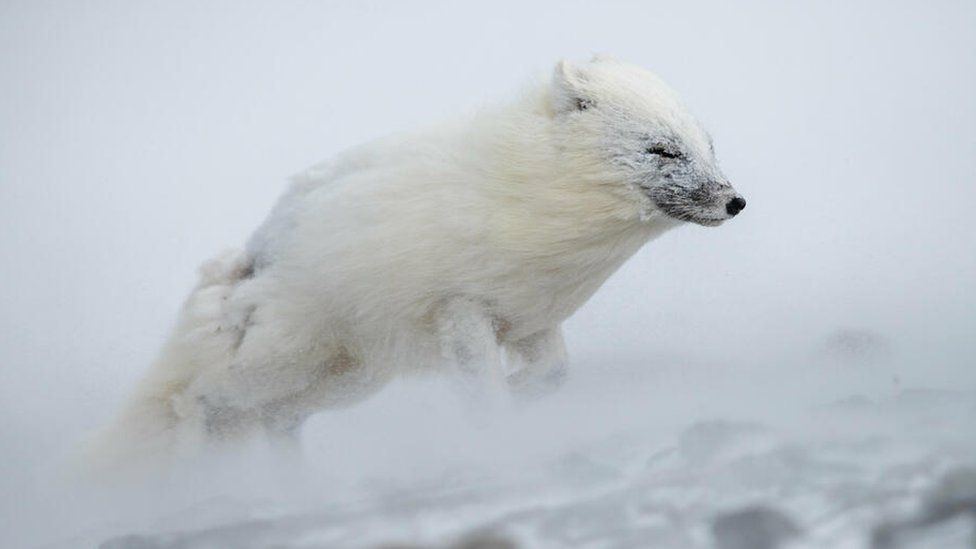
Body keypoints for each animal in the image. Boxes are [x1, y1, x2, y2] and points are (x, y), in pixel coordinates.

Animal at [93, 54, 748, 466]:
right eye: (661, 150)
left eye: (707, 145)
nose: (735, 201)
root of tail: (253, 252)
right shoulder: (460, 309)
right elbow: (484, 393)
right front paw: (497, 434)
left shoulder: (533, 319)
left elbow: (553, 376)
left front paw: (521, 395)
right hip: (285, 359)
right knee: (200, 402)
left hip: (347, 377)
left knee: (275, 419)